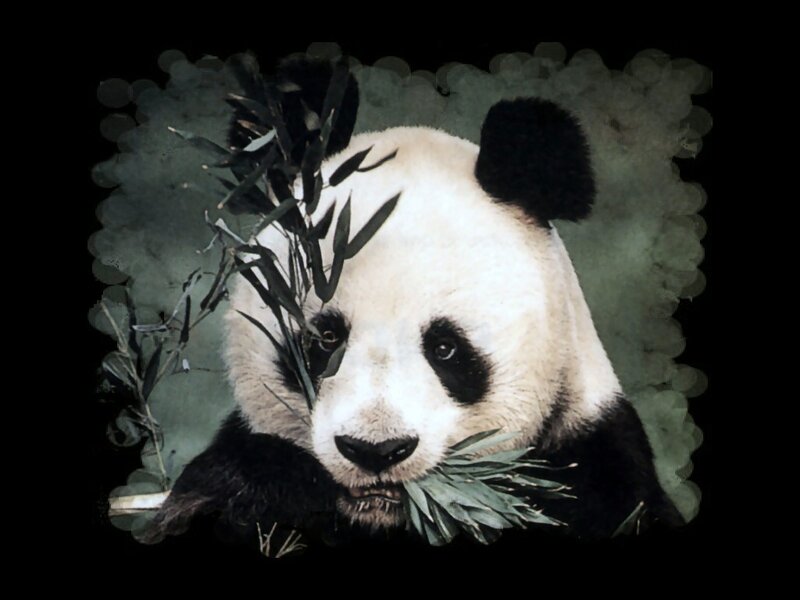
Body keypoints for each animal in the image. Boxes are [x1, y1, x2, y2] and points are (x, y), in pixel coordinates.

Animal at [144, 58, 685, 545]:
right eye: (325, 337)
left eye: (445, 348)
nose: (376, 450)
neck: (382, 516)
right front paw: (264, 488)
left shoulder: (593, 468)